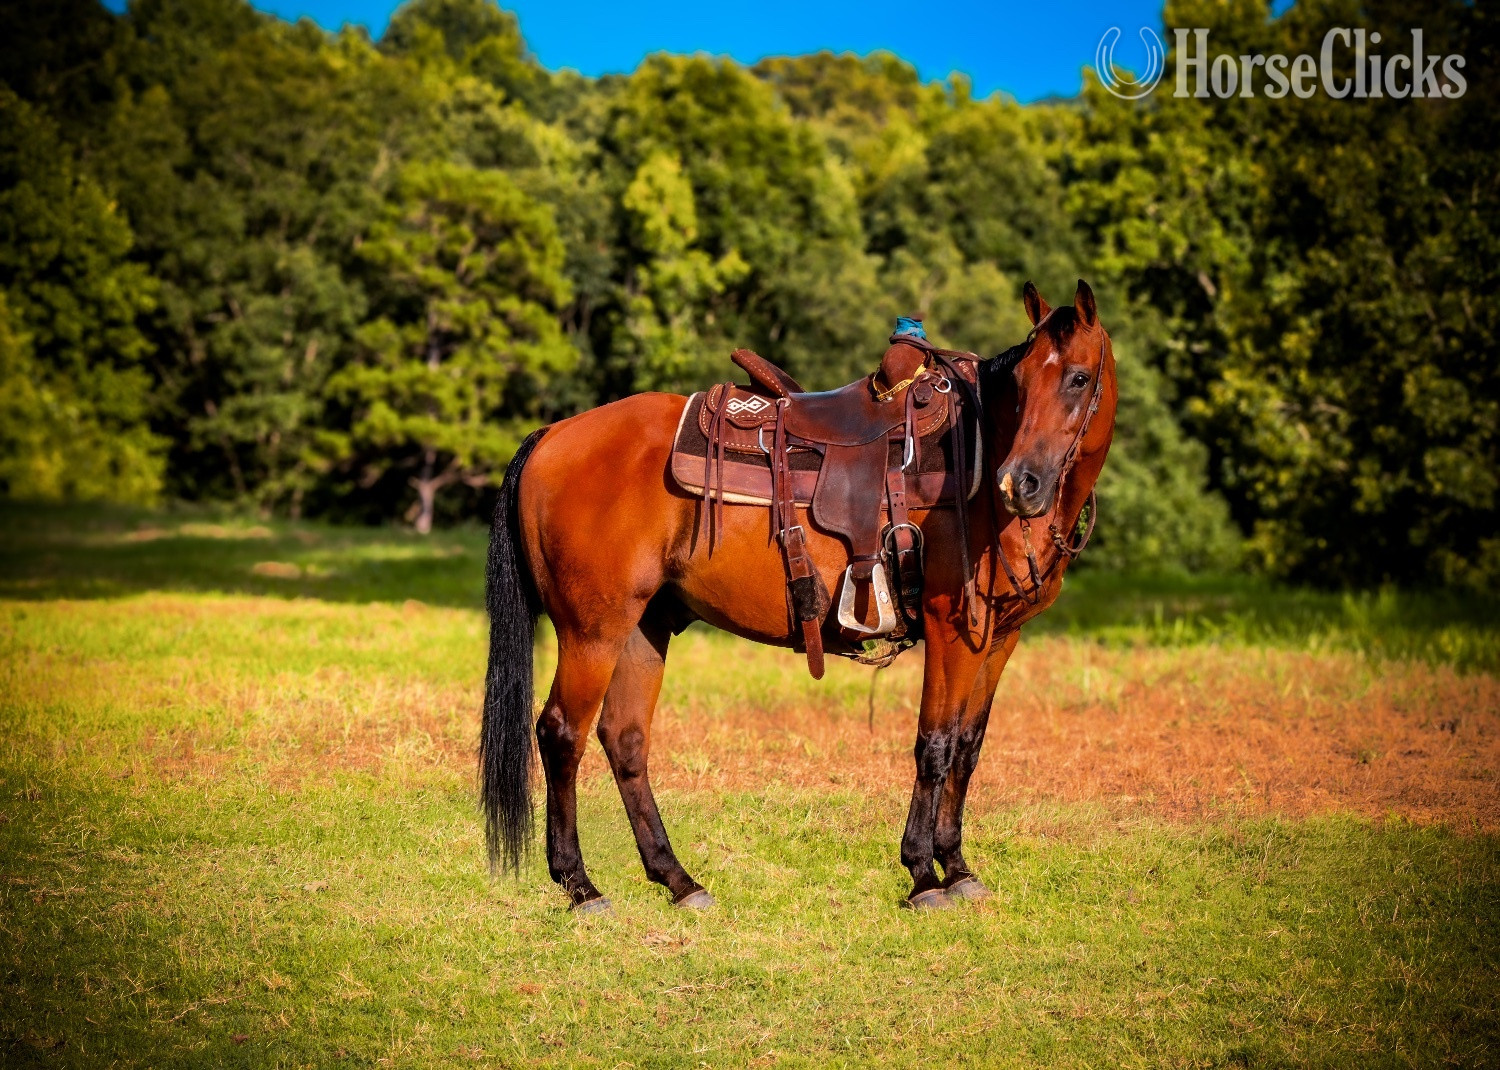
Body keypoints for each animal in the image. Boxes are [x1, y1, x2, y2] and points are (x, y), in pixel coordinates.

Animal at [480, 279, 1117, 911]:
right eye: (1022, 382)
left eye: (1078, 377)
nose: (1020, 483)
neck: (979, 471)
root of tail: (553, 435)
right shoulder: (950, 630)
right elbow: (934, 745)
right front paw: (923, 873)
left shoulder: (999, 638)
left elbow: (967, 747)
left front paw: (957, 867)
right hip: (593, 631)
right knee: (561, 734)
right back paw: (580, 885)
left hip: (642, 627)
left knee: (625, 740)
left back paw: (678, 880)